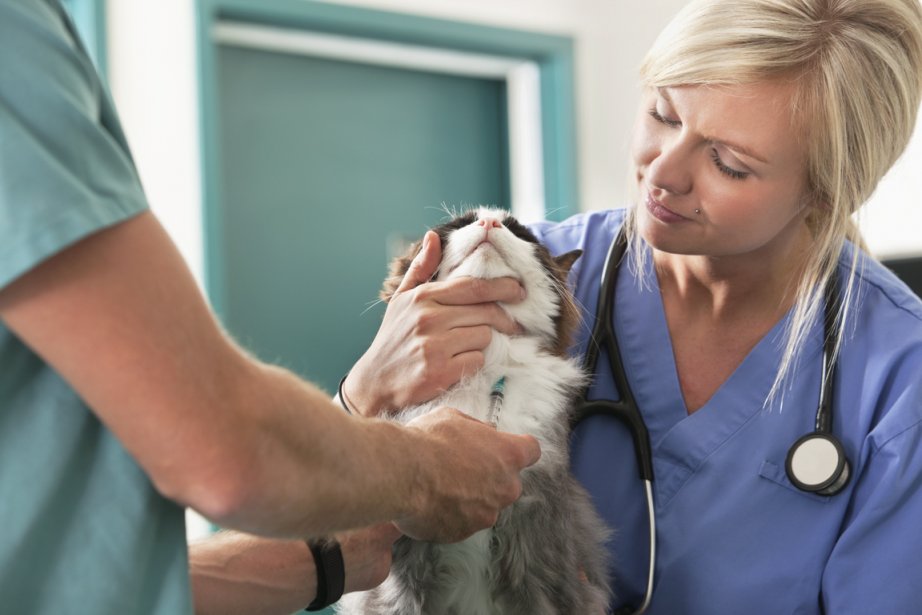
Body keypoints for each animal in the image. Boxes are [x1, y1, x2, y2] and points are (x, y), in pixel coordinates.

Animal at [338, 208, 612, 615]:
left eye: (517, 230)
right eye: (462, 223)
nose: (489, 223)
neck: (486, 368)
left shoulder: (541, 558)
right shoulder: (400, 579)